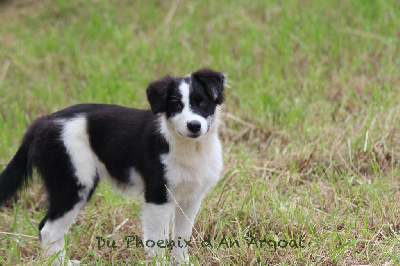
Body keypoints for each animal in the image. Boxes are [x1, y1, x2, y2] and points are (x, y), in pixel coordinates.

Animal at [0, 68, 225, 264]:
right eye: (176, 106)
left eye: (202, 102)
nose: (194, 126)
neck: (191, 148)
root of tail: (40, 123)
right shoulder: (158, 196)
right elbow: (156, 240)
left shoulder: (191, 198)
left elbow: (182, 236)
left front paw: (181, 262)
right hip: (74, 183)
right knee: (48, 229)